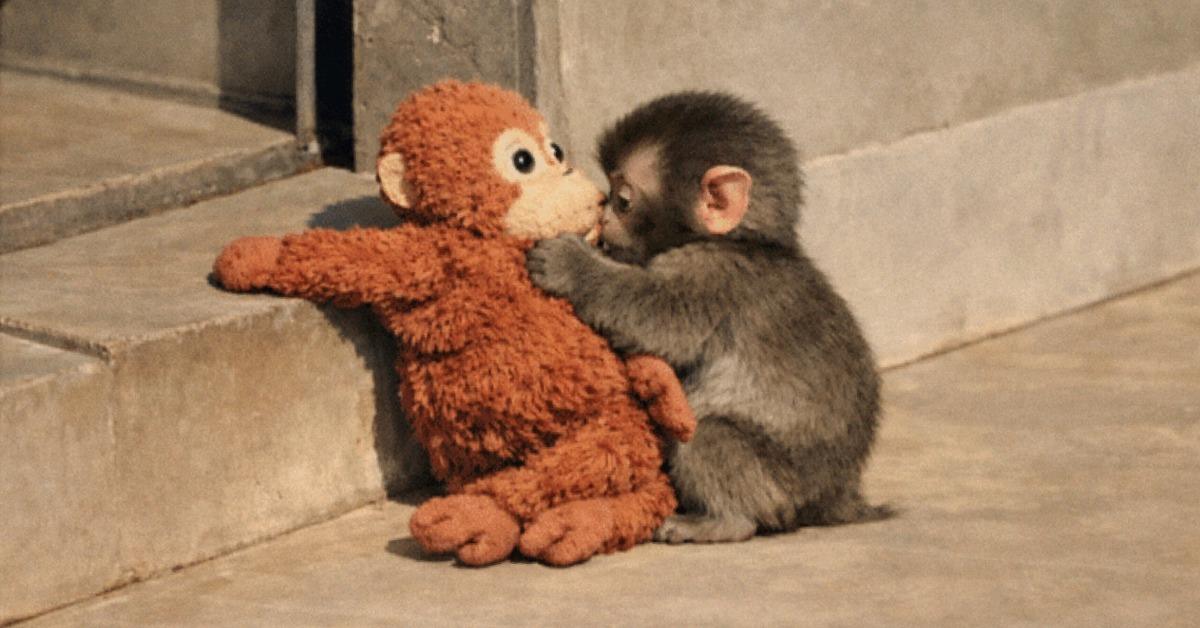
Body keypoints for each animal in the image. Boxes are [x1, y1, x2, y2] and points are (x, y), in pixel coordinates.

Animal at [527, 91, 891, 543]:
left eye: (623, 200)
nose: (602, 215)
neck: (742, 241)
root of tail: (834, 499)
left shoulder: (709, 275)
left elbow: (651, 316)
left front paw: (572, 264)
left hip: (777, 487)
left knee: (708, 432)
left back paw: (722, 521)